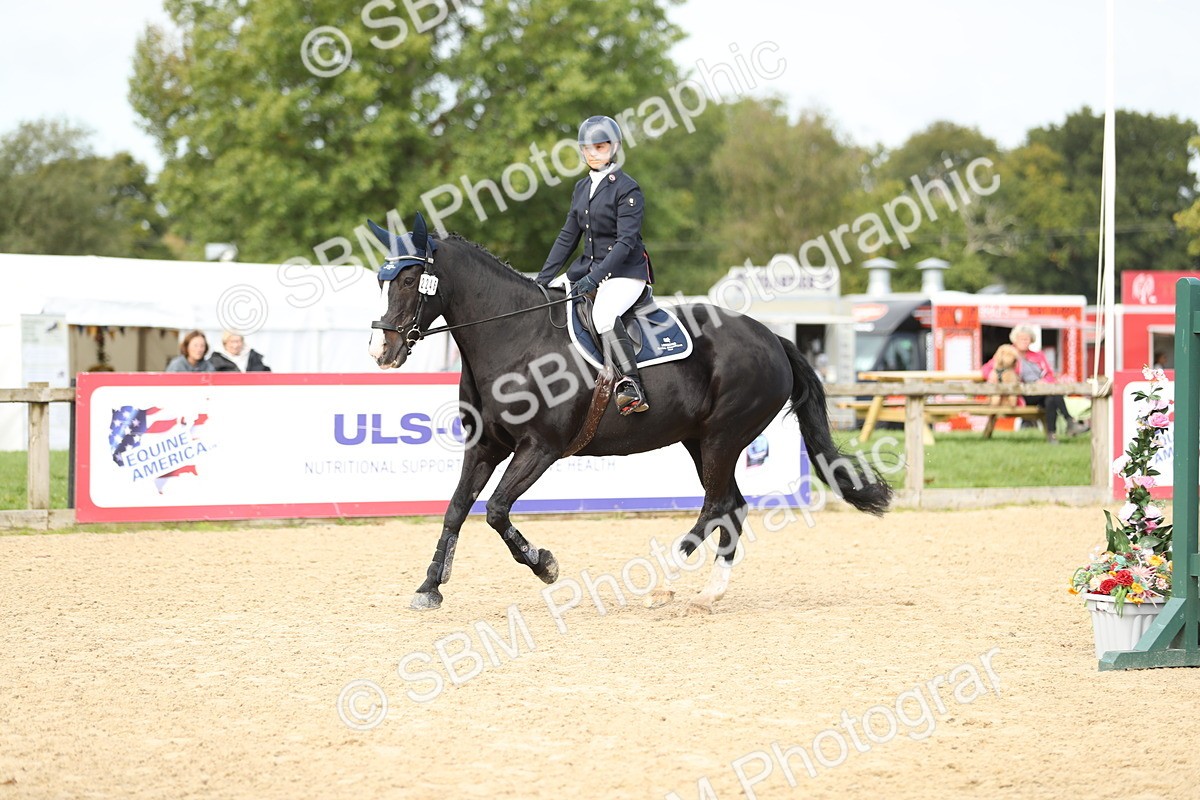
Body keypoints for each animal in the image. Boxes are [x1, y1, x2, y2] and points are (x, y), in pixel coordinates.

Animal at [367, 214, 892, 612]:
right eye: (381, 280)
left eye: (411, 280)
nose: (381, 351)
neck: (514, 338)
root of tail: (773, 338)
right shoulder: (485, 446)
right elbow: (456, 509)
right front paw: (429, 587)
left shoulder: (540, 448)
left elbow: (495, 511)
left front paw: (545, 565)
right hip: (700, 441)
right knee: (733, 506)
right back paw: (710, 592)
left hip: (723, 437)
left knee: (716, 505)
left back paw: (664, 577)